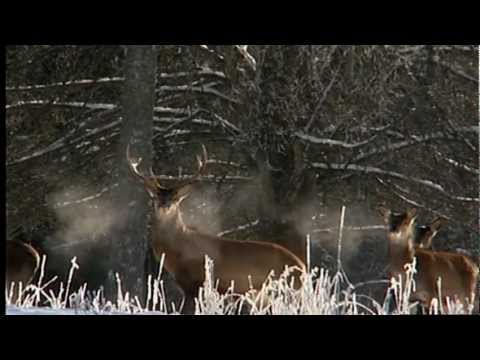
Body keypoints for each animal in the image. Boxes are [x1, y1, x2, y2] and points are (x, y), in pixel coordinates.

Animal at [124, 145, 304, 314]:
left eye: (175, 199)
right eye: (155, 198)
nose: (164, 204)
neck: (178, 252)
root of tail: (302, 266)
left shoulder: (195, 284)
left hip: (287, 290)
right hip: (260, 293)